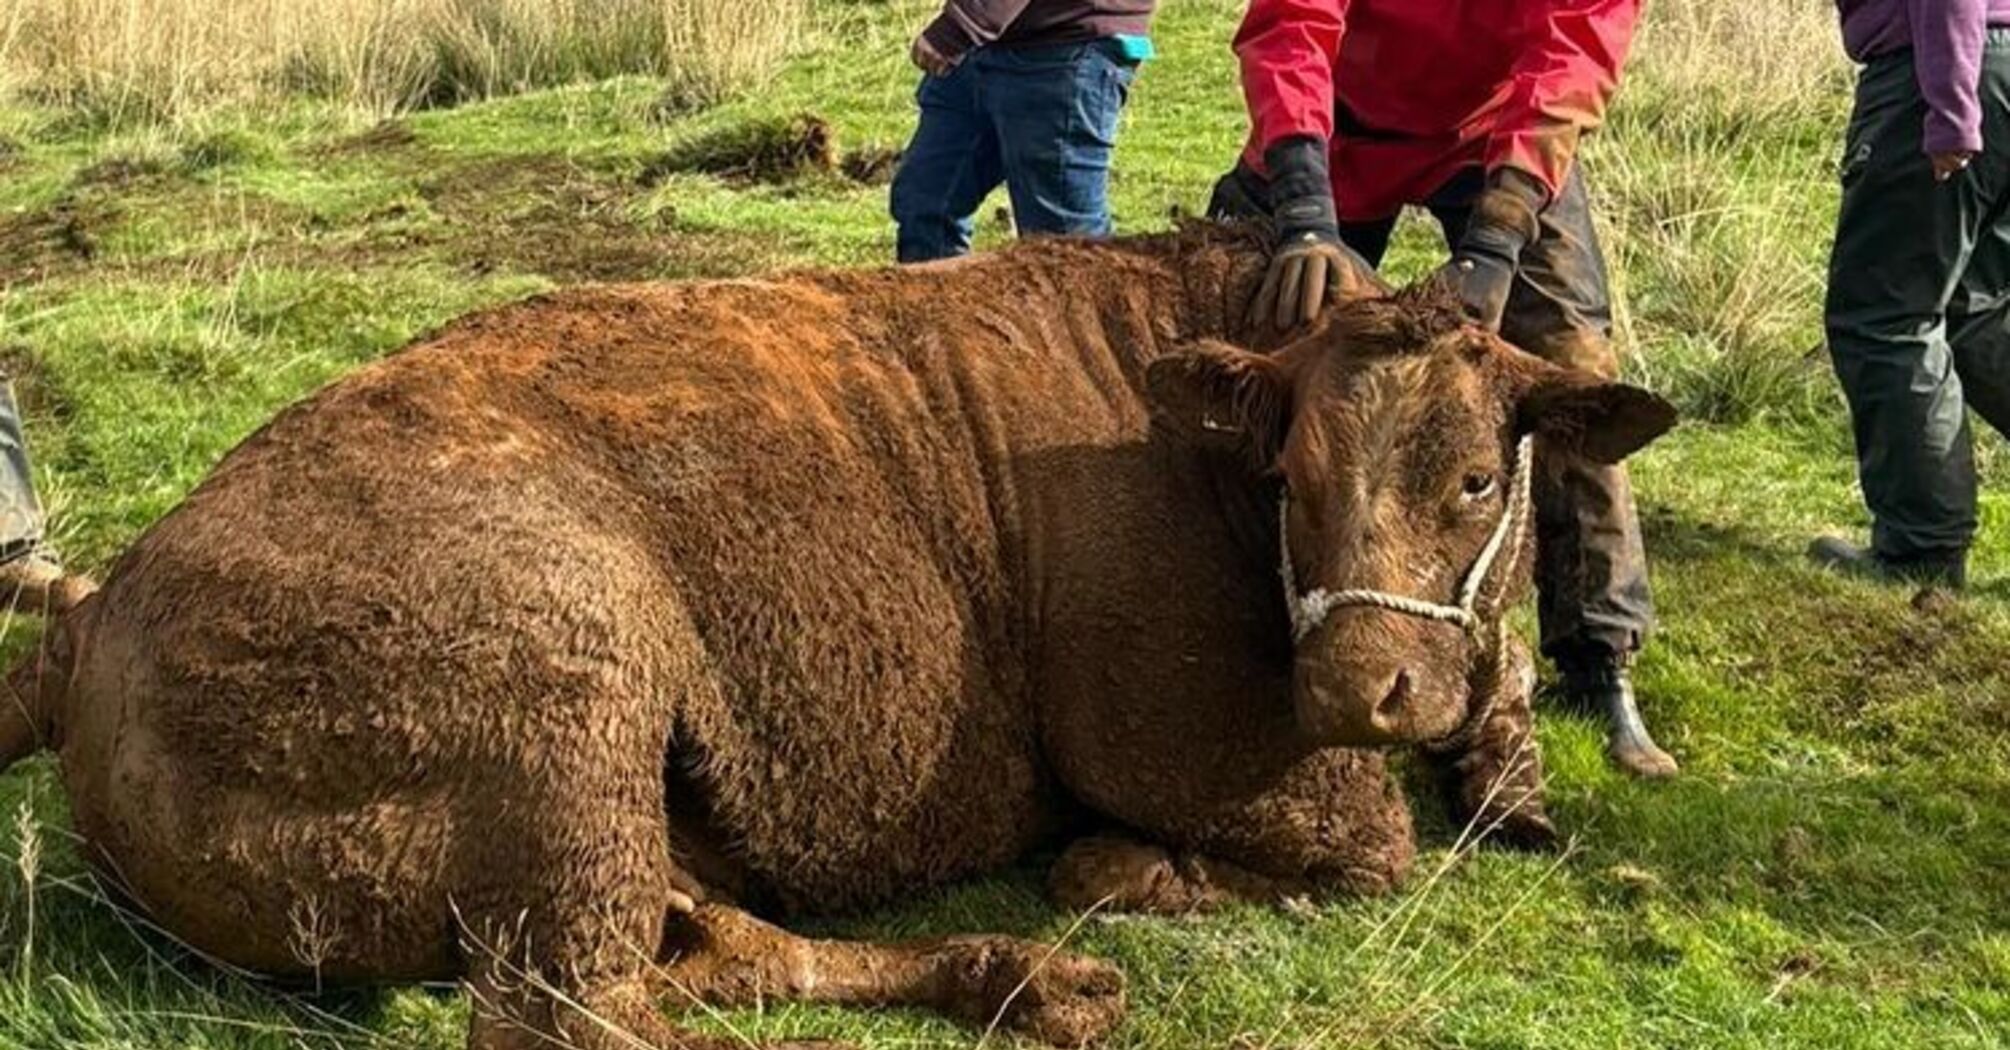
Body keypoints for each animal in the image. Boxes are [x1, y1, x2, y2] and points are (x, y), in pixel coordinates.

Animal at [0, 229, 1664, 1045]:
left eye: (1473, 478)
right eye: (1292, 480)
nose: (1360, 684)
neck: (1188, 407)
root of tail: (95, 623)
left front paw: (1514, 766)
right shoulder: (1203, 752)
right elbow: (1340, 845)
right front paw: (1128, 869)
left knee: (712, 952)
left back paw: (1020, 980)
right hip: (579, 696)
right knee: (584, 1014)